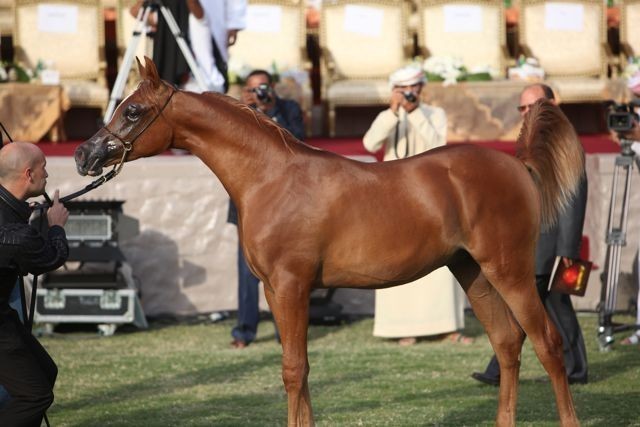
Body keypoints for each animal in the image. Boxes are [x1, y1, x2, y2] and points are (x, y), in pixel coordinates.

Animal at [75, 57, 581, 426]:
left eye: (133, 110)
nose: (84, 154)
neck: (271, 177)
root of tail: (516, 162)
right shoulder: (273, 290)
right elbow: (295, 369)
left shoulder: (292, 286)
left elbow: (294, 369)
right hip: (471, 271)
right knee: (508, 343)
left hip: (510, 271)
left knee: (547, 342)